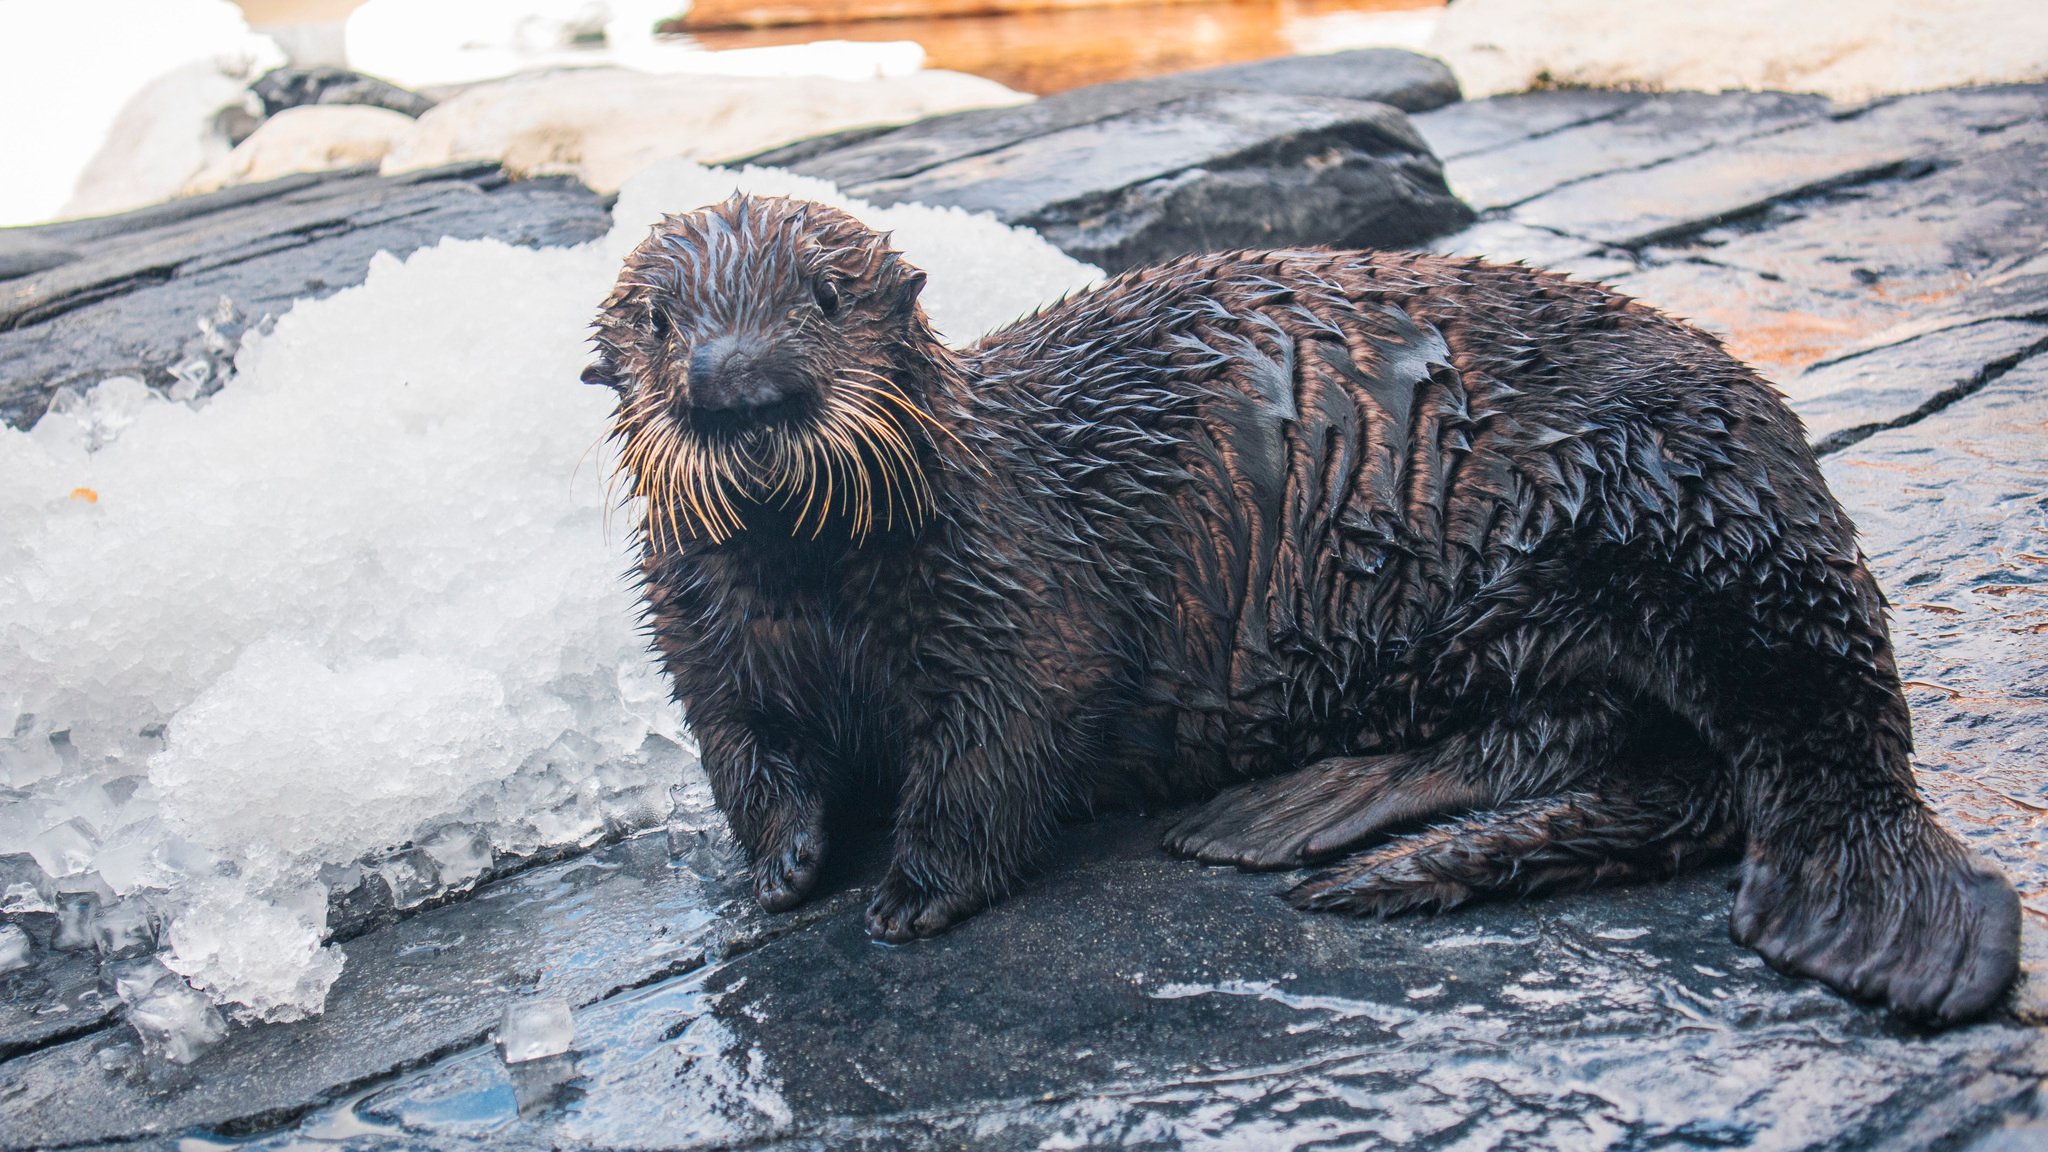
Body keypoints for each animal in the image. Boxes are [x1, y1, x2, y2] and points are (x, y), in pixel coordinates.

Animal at [583, 195, 2019, 1025]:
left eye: (822, 300)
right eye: (658, 323)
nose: (739, 384)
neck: (816, 594)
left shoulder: (1010, 597)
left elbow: (996, 756)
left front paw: (911, 895)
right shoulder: (698, 642)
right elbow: (750, 761)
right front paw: (783, 872)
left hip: (1699, 500)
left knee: (1815, 720)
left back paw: (1880, 930)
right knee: (1597, 740)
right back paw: (1293, 824)